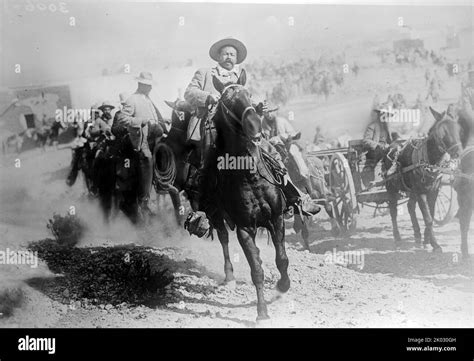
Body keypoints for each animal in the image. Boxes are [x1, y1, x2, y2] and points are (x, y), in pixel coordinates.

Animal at [384, 107, 462, 250]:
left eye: (458, 128)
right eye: (442, 132)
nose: (458, 152)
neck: (428, 161)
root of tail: (393, 142)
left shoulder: (434, 191)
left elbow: (431, 213)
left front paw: (427, 240)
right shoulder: (421, 193)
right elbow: (427, 218)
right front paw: (435, 244)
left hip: (412, 190)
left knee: (410, 206)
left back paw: (417, 235)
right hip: (391, 188)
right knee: (393, 211)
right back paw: (397, 237)